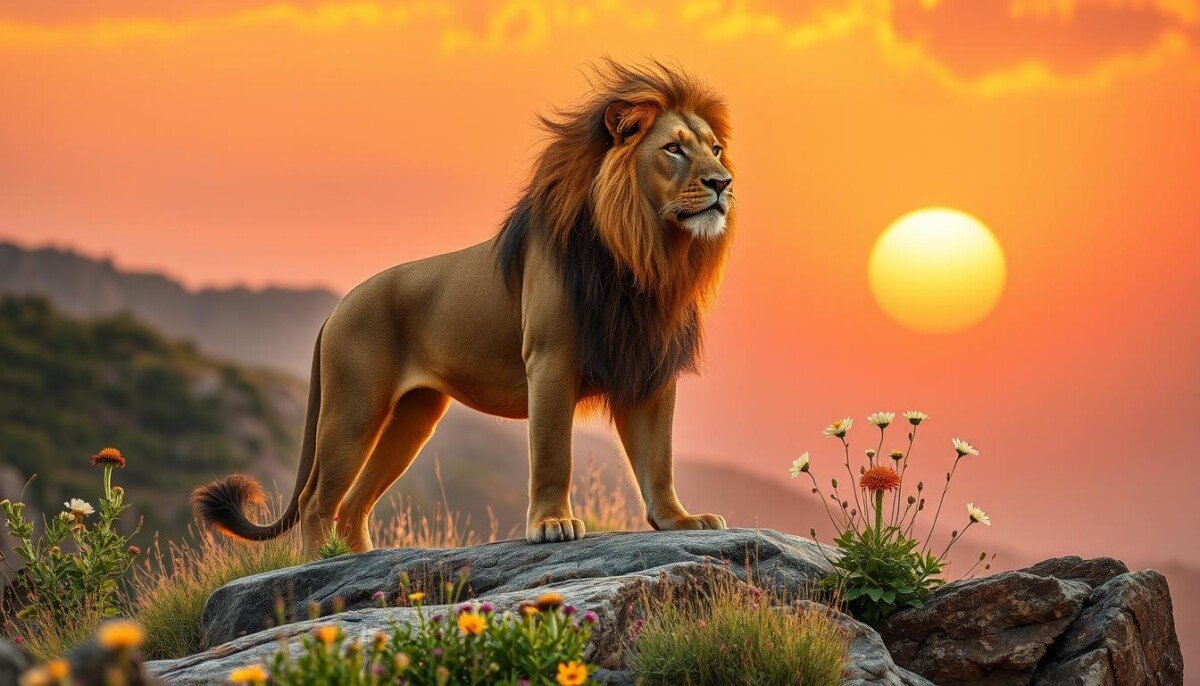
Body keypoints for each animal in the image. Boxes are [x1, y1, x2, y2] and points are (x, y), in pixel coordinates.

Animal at [192, 60, 736, 555]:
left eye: (714, 149)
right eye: (673, 149)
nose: (724, 183)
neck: (647, 255)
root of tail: (337, 308)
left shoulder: (651, 367)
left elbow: (659, 459)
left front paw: (681, 521)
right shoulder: (551, 358)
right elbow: (553, 452)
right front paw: (552, 524)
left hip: (413, 418)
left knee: (354, 503)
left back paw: (361, 560)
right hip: (354, 408)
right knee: (316, 503)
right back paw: (317, 573)